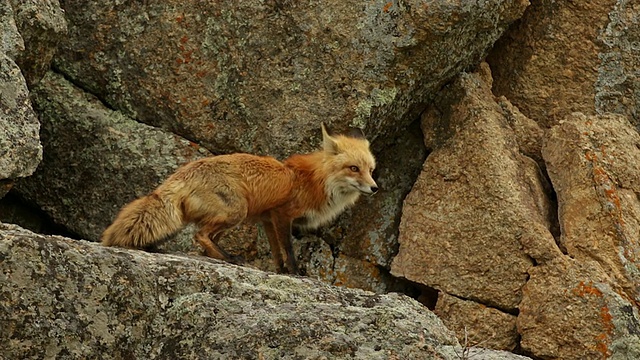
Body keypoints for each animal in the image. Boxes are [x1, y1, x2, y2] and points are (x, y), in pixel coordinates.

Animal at [102, 124, 378, 272]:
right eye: (354, 168)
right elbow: (288, 249)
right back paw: (228, 258)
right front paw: (297, 273)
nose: (375, 188)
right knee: (200, 235)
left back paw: (221, 257)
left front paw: (281, 272)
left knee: (207, 239)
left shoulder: (267, 220)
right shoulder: (282, 215)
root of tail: (182, 173)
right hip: (237, 211)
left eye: (370, 169)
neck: (314, 180)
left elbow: (277, 253)